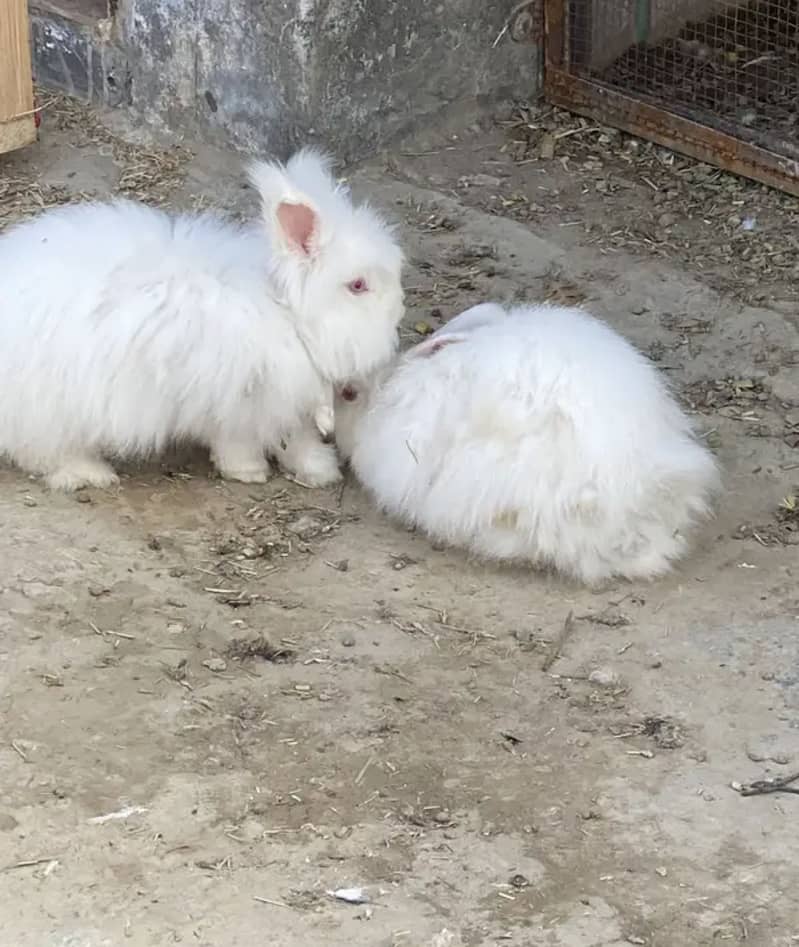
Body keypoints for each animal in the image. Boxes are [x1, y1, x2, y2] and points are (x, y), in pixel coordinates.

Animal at [0, 147, 404, 490]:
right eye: (358, 285)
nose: (399, 311)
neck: (283, 310)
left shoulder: (281, 402)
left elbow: (295, 437)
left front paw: (319, 470)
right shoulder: (235, 398)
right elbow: (238, 440)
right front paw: (249, 472)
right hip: (50, 409)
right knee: (39, 450)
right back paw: (90, 473)